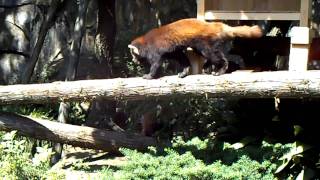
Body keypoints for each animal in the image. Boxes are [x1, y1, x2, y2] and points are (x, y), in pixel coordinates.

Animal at [127, 18, 262, 79]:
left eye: (133, 54)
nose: (133, 60)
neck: (145, 42)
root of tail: (217, 26)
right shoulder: (171, 50)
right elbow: (181, 57)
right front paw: (184, 71)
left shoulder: (155, 49)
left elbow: (156, 62)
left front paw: (149, 75)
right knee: (211, 55)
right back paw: (207, 67)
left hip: (206, 42)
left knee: (215, 55)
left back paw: (220, 69)